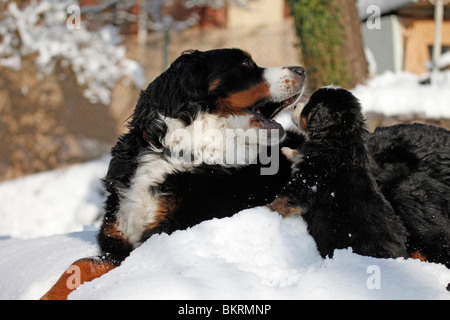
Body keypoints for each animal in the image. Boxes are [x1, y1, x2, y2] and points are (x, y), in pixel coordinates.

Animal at [41, 48, 306, 300]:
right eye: (245, 63)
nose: (301, 69)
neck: (179, 153)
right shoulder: (117, 242)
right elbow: (79, 265)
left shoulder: (164, 234)